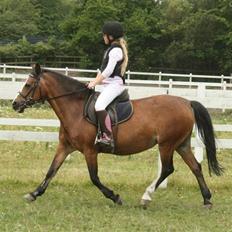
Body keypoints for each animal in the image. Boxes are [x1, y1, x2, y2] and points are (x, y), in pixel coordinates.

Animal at [11, 63, 222, 208]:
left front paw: (115, 197)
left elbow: (94, 177)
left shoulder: (89, 150)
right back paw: (207, 199)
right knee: (196, 167)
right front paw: (34, 193)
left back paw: (146, 197)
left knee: (168, 169)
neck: (75, 108)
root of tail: (187, 103)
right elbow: (51, 170)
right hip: (181, 144)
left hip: (167, 145)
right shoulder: (65, 147)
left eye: (28, 84)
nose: (15, 104)